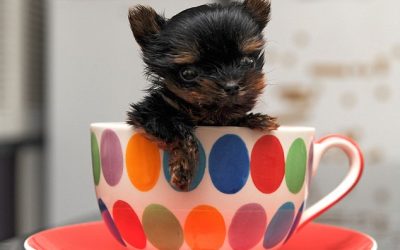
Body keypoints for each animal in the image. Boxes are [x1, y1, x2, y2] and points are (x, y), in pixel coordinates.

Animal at [128, 0, 278, 189]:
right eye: (188, 73)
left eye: (248, 61)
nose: (232, 86)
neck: (208, 116)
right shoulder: (150, 113)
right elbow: (179, 131)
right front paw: (184, 165)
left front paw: (257, 119)